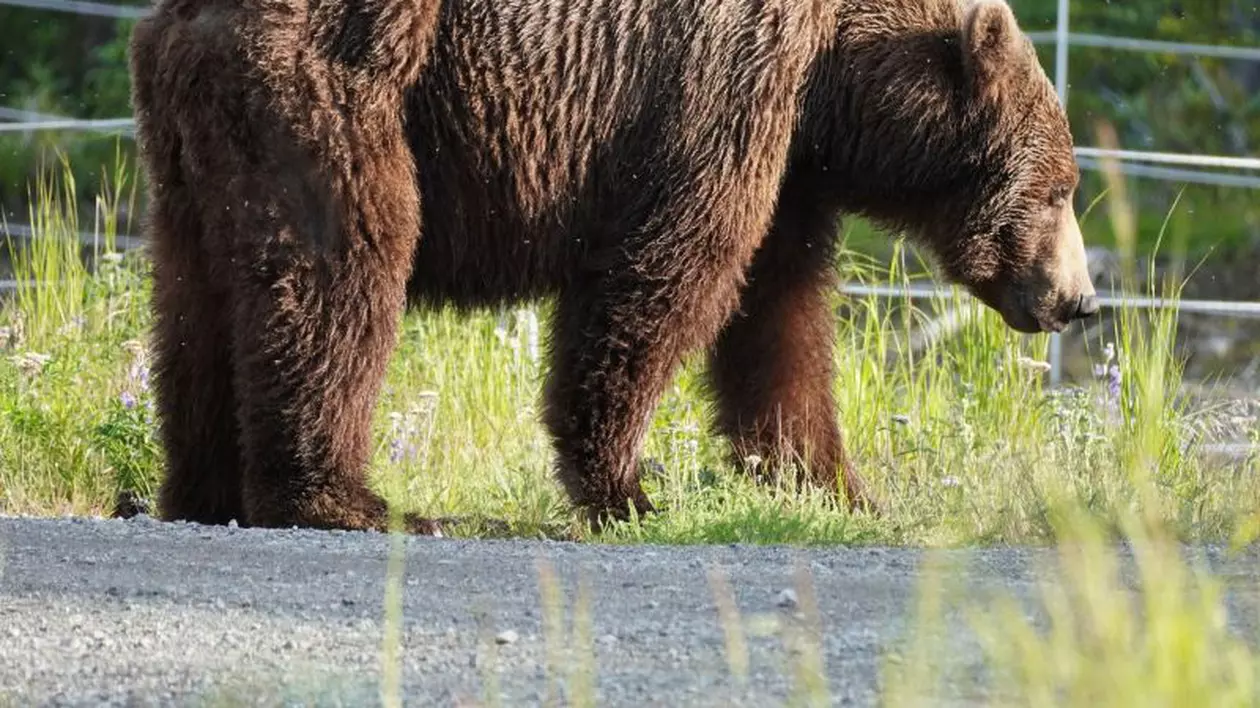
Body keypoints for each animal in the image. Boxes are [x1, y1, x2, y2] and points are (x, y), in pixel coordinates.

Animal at [125, 0, 1093, 529]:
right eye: (1059, 188)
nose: (1077, 299)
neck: (833, 85)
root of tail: (187, 20)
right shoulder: (720, 94)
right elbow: (666, 276)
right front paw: (628, 486)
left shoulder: (789, 168)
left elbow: (778, 325)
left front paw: (836, 488)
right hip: (341, 91)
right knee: (343, 269)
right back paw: (350, 500)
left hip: (190, 149)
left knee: (195, 307)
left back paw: (202, 488)